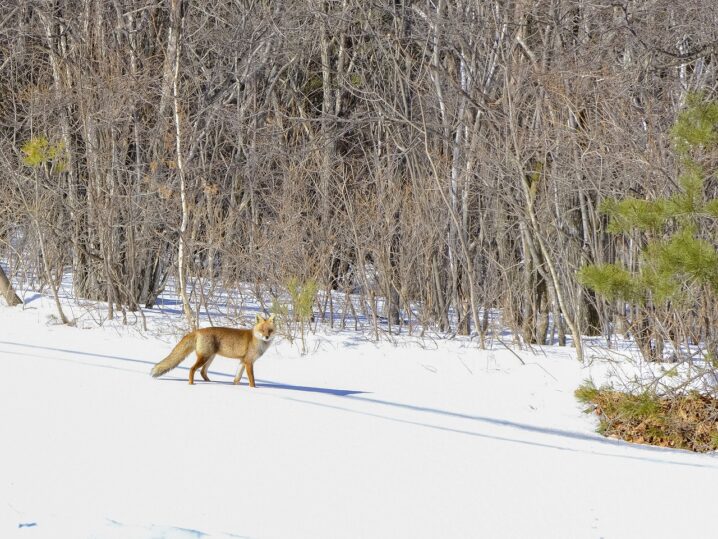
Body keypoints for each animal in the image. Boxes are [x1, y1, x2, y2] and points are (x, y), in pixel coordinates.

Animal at [150, 312, 278, 388]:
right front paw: (254, 389)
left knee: (202, 372)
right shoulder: (249, 362)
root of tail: (198, 330)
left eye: (270, 330)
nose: (266, 337)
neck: (256, 340)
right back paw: (191, 384)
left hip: (210, 358)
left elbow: (237, 377)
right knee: (192, 369)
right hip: (205, 357)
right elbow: (252, 379)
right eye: (262, 330)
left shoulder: (243, 361)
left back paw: (211, 383)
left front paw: (236, 386)